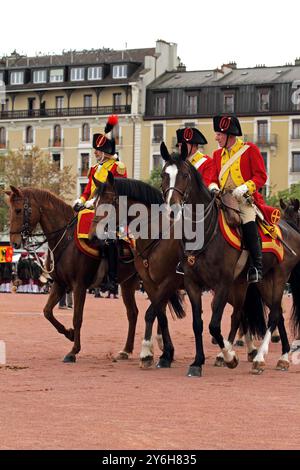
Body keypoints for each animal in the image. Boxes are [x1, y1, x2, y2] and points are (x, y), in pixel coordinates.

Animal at [5, 185, 140, 362]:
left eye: (19, 210)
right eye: (11, 210)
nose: (14, 242)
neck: (66, 240)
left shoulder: (79, 286)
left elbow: (77, 318)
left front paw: (73, 351)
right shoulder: (59, 284)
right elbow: (47, 312)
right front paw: (69, 334)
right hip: (127, 284)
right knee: (133, 313)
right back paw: (126, 350)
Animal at [89, 171, 186, 370]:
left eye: (109, 202)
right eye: (94, 203)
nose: (93, 236)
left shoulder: (168, 281)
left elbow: (153, 312)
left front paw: (149, 353)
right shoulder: (151, 284)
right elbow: (159, 314)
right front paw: (164, 353)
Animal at [162, 141, 300, 376]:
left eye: (185, 175)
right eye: (164, 174)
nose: (173, 209)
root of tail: (288, 228)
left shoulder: (223, 282)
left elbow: (214, 324)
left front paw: (230, 356)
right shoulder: (192, 283)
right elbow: (199, 324)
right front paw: (198, 362)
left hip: (280, 277)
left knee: (273, 314)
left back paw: (261, 358)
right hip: (259, 281)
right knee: (270, 313)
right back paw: (281, 356)